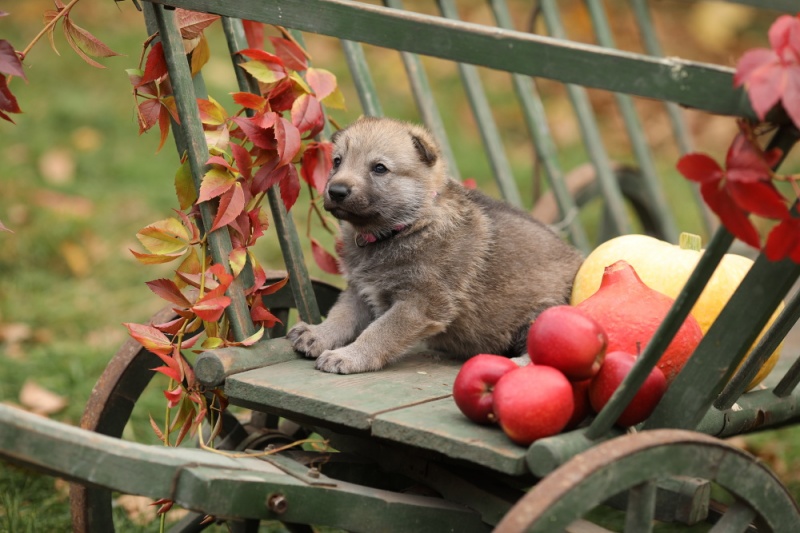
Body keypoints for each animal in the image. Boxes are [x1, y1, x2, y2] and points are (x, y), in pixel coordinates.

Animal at [288, 117, 580, 374]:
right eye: (337, 161)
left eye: (379, 168)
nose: (336, 191)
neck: (405, 228)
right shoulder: (361, 290)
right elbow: (341, 316)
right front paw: (318, 334)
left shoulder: (419, 303)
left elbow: (379, 332)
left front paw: (349, 356)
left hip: (543, 313)